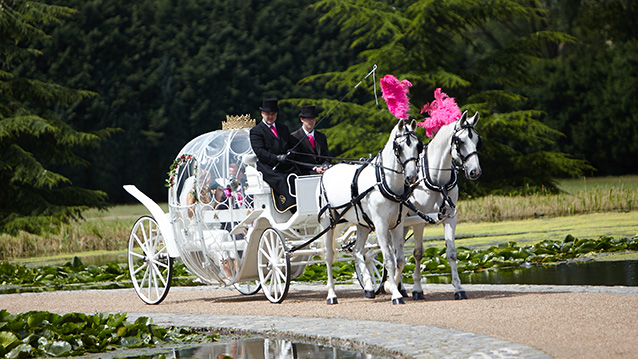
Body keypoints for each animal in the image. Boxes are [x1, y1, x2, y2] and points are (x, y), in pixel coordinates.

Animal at [320, 119, 420, 306]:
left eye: (419, 146)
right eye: (399, 147)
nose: (412, 177)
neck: (384, 181)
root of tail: (327, 170)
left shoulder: (397, 225)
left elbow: (400, 260)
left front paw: (390, 286)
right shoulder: (380, 226)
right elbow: (388, 260)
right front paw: (395, 294)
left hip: (362, 224)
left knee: (358, 251)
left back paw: (368, 288)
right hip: (328, 224)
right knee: (329, 257)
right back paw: (331, 295)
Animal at [408, 110, 482, 300]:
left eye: (477, 140)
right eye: (459, 141)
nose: (475, 171)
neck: (437, 180)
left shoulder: (450, 218)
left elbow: (452, 253)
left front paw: (458, 288)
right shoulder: (418, 221)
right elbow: (418, 253)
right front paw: (417, 288)